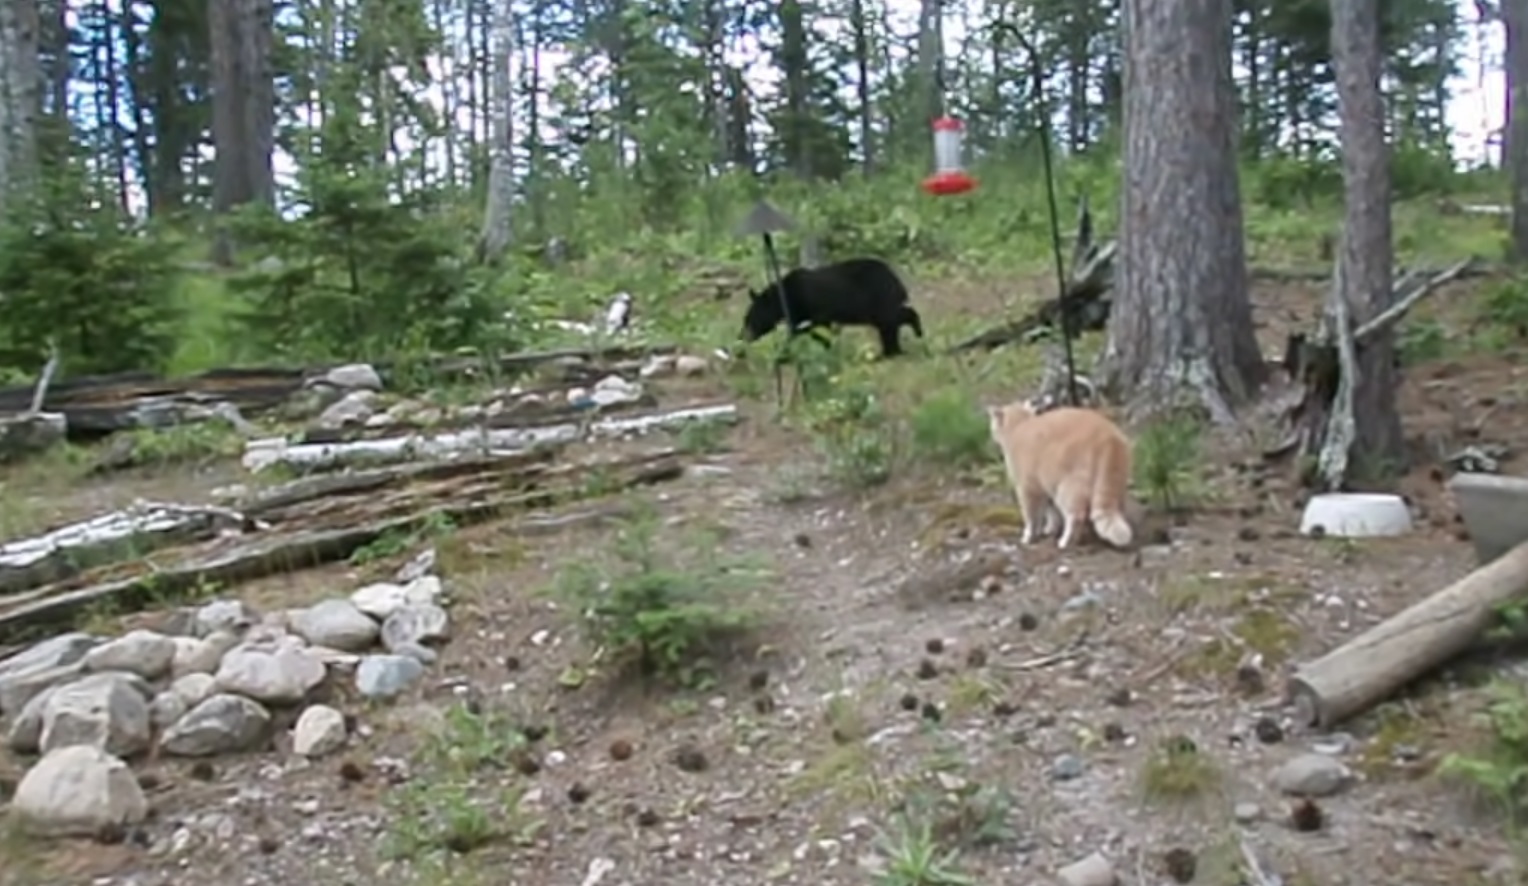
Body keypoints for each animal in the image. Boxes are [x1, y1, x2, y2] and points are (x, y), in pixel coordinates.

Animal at [736, 256, 916, 355]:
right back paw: (892, 350)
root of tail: (896, 279)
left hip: (876, 298)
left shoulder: (810, 307)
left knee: (892, 319)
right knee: (889, 323)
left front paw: (782, 355)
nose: (741, 336)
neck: (785, 296)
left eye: (748, 318)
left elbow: (813, 330)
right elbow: (803, 330)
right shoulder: (801, 314)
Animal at [990, 400, 1136, 549]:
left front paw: (1029, 534)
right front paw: (1049, 528)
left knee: (1075, 516)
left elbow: (1031, 515)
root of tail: (1109, 438)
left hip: (1068, 487)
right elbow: (1050, 510)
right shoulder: (1044, 485)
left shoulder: (1027, 487)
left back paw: (1066, 540)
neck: (1020, 425)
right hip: (1116, 482)